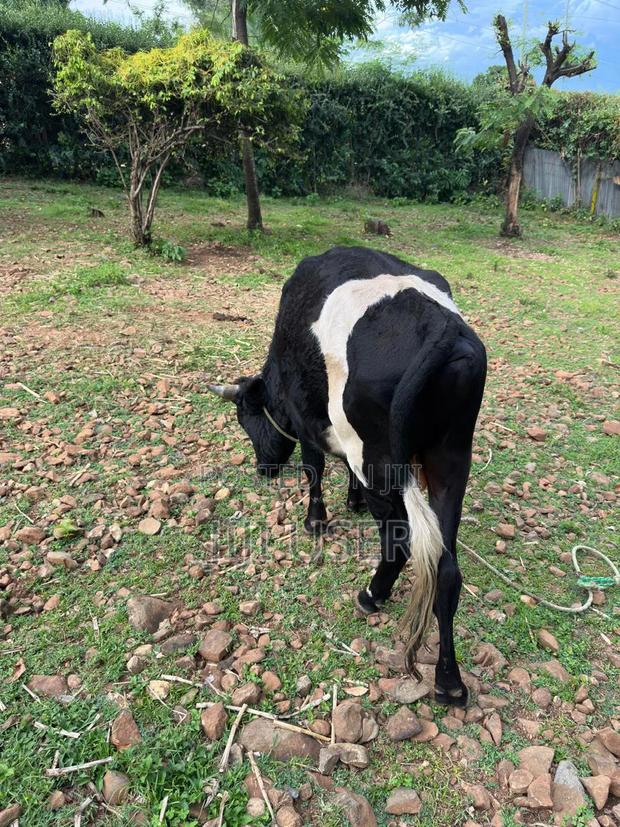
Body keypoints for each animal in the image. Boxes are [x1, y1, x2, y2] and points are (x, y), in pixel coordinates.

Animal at [208, 246, 486, 706]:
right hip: (449, 460)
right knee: (446, 568)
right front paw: (351, 501)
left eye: (244, 416)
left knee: (400, 543)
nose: (263, 469)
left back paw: (372, 595)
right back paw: (449, 680)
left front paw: (315, 520)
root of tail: (440, 327)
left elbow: (315, 467)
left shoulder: (308, 418)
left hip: (380, 460)